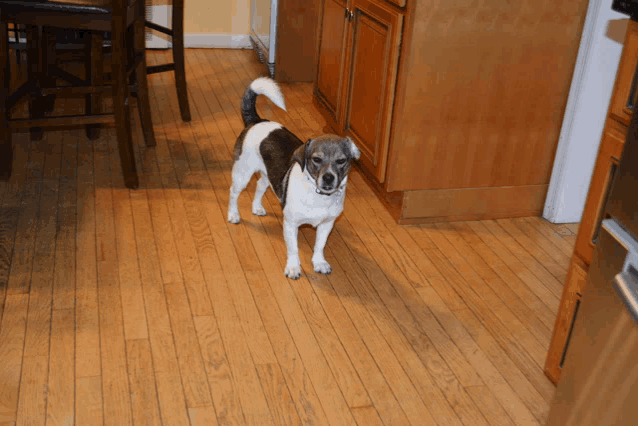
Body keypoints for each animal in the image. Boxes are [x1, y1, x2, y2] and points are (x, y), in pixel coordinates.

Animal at [229, 77, 360, 280]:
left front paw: (319, 263)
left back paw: (257, 207)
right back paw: (233, 214)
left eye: (341, 160)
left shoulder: (326, 224)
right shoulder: (291, 224)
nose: (328, 178)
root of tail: (256, 120)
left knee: (259, 185)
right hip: (242, 173)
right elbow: (293, 250)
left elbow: (320, 245)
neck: (318, 196)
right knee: (233, 193)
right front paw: (293, 268)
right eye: (316, 159)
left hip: (268, 174)